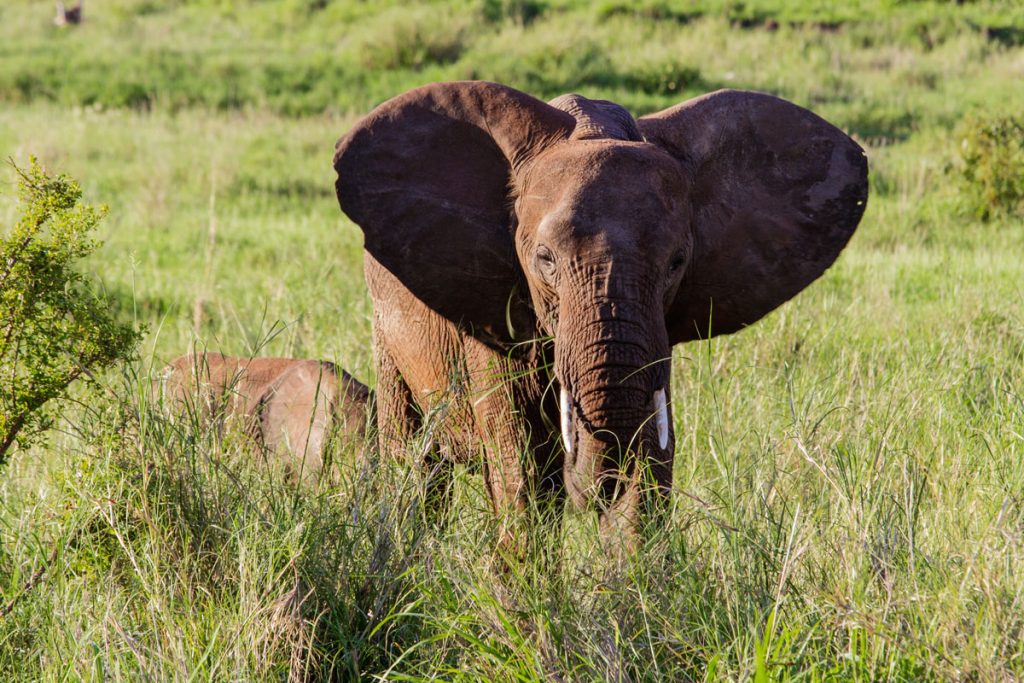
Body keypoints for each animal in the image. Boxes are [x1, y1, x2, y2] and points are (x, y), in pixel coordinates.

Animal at [331, 81, 868, 548]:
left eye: (677, 262)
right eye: (545, 259)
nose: (589, 490)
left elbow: (649, 468)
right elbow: (521, 469)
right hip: (386, 328)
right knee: (417, 463)